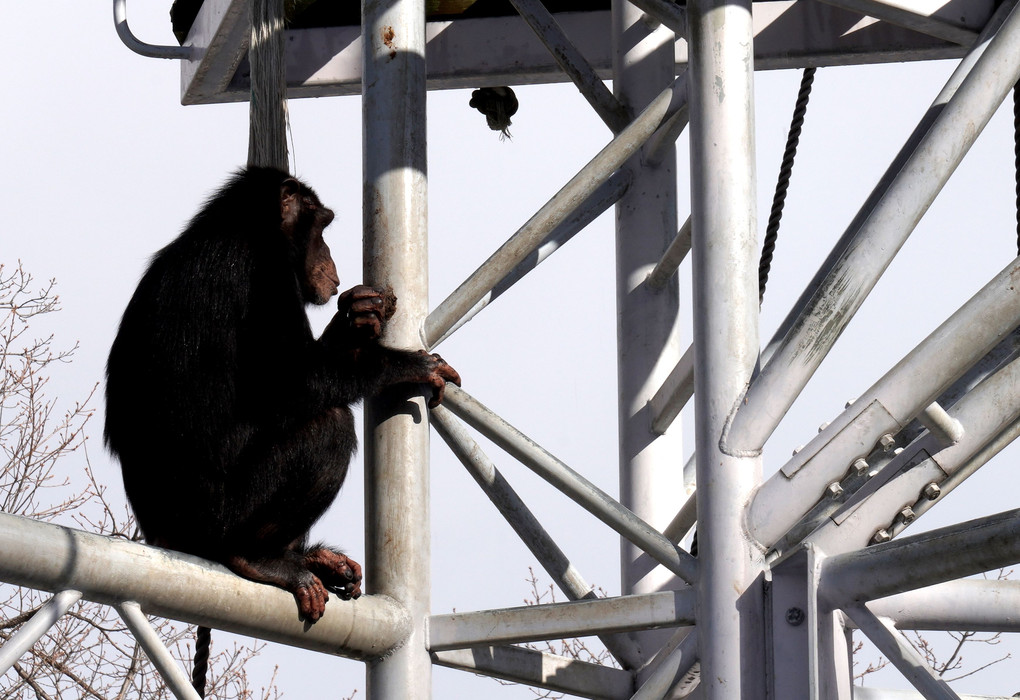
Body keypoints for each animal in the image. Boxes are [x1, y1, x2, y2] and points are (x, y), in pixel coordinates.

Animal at [102, 166, 459, 624]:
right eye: (322, 225)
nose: (330, 259)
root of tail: (160, 538)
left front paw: (359, 314)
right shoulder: (264, 274)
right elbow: (293, 381)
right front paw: (407, 365)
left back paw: (314, 560)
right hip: (216, 522)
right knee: (329, 424)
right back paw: (259, 557)